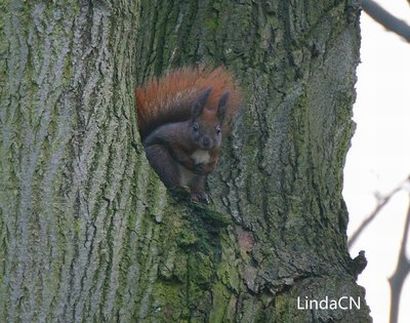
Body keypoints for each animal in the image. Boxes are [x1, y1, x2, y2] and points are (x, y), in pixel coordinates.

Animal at [136, 65, 242, 202]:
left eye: (219, 130)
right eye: (195, 127)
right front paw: (190, 163)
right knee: (170, 179)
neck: (201, 150)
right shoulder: (173, 137)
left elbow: (214, 163)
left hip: (197, 179)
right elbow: (177, 152)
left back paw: (200, 195)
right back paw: (181, 189)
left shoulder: (215, 152)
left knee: (196, 185)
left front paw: (207, 169)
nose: (206, 141)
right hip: (160, 158)